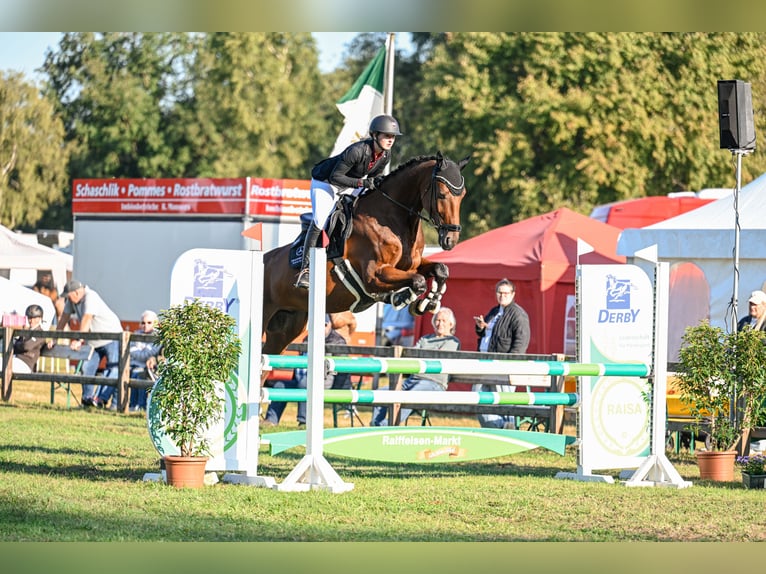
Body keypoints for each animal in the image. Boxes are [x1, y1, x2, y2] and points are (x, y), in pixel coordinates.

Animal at [260, 152, 472, 356]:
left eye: (462, 195)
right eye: (442, 194)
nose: (451, 240)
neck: (392, 218)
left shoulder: (412, 264)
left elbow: (440, 269)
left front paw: (428, 303)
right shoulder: (374, 274)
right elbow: (417, 281)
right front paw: (401, 298)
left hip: (287, 327)